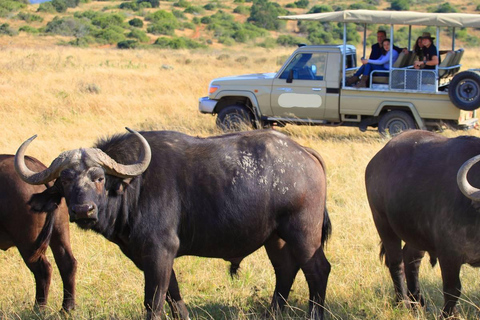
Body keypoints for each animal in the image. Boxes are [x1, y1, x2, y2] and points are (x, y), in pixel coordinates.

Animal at [0, 154, 76, 310]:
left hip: (28, 242)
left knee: (43, 270)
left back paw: (39, 309)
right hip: (59, 231)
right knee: (67, 263)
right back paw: (66, 309)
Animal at [14, 129, 330, 320]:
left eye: (99, 177)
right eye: (65, 181)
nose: (83, 210)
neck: (133, 187)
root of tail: (304, 152)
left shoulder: (159, 252)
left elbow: (153, 301)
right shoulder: (150, 257)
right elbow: (174, 297)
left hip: (303, 234)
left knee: (317, 269)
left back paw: (314, 313)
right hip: (275, 237)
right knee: (285, 270)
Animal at [368, 130, 480, 318]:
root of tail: (375, 161)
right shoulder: (449, 255)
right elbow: (452, 289)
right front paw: (448, 315)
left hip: (416, 234)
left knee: (411, 260)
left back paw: (418, 303)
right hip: (382, 223)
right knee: (396, 263)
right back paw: (403, 302)